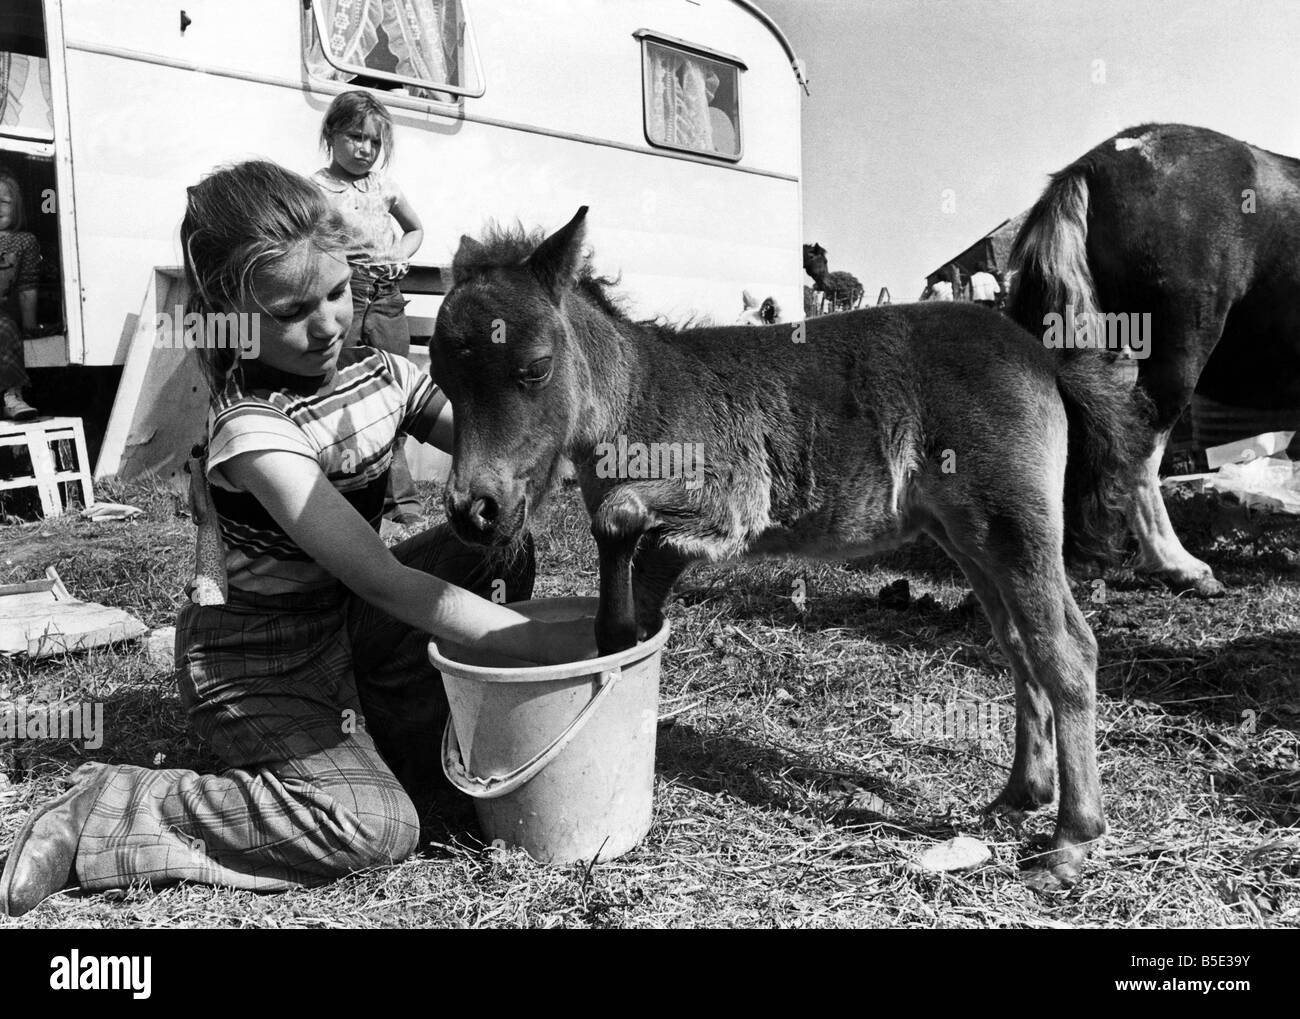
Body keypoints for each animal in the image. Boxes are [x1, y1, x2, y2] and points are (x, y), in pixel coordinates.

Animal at [428, 205, 1149, 883]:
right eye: (440, 376)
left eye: (535, 368)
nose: (475, 511)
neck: (638, 397)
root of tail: (1042, 357)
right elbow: (624, 581)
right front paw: (621, 642)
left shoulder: (731, 494)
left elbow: (619, 516)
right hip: (970, 537)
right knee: (1020, 648)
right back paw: (1020, 795)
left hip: (1014, 524)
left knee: (1067, 650)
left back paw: (1071, 837)